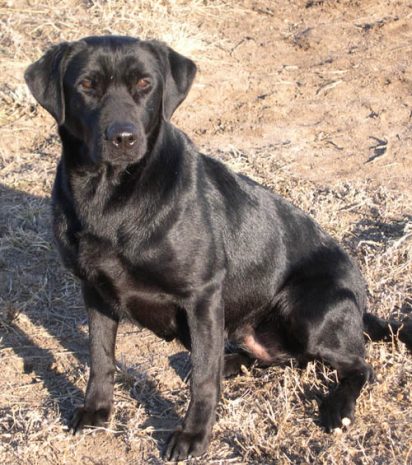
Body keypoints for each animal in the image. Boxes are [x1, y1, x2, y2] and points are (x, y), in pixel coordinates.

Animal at [25, 37, 412, 460]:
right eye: (87, 85)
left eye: (144, 84)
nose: (123, 138)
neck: (110, 197)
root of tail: (361, 301)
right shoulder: (94, 290)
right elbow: (100, 357)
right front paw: (96, 411)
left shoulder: (203, 296)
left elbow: (203, 383)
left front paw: (193, 435)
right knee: (283, 359)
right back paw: (232, 362)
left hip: (311, 312)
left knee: (358, 365)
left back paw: (336, 407)